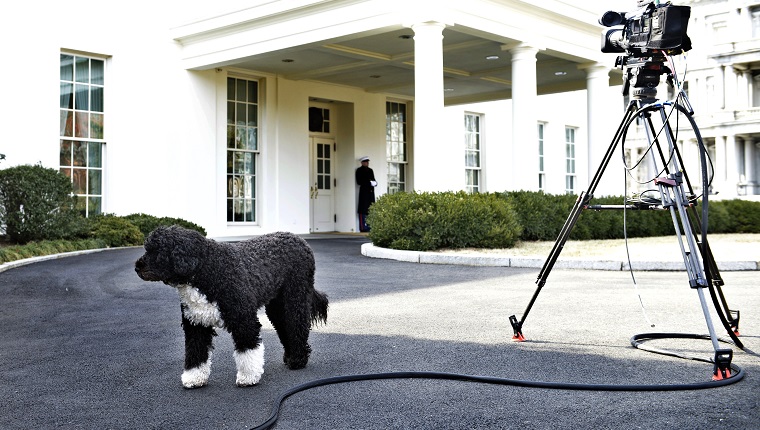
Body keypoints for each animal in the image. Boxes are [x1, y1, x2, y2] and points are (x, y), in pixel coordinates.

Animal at [137, 227, 326, 388]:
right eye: (147, 249)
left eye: (156, 251)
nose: (137, 266)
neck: (207, 270)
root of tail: (299, 239)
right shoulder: (196, 324)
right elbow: (195, 353)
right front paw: (194, 377)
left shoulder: (244, 319)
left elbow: (248, 350)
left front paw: (248, 377)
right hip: (277, 305)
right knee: (285, 327)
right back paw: (290, 356)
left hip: (295, 297)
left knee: (298, 325)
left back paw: (298, 360)